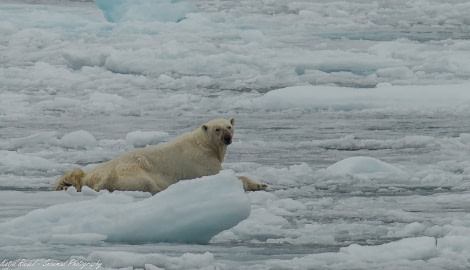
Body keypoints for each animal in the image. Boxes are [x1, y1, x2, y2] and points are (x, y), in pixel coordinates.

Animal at [54, 117, 268, 193]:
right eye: (217, 129)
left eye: (229, 126)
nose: (227, 137)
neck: (203, 145)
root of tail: (88, 176)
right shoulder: (202, 163)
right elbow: (221, 177)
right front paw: (260, 184)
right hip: (129, 172)